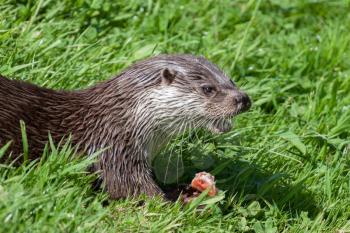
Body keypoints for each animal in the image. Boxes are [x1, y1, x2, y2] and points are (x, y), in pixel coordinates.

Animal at [0, 54, 252, 198]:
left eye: (231, 80)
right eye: (208, 89)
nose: (244, 99)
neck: (122, 121)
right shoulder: (115, 153)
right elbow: (140, 195)